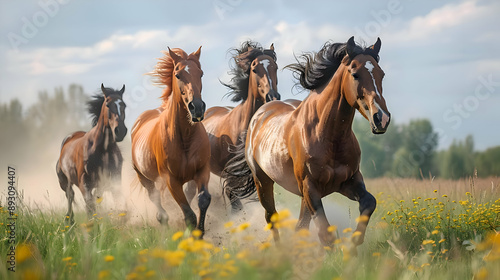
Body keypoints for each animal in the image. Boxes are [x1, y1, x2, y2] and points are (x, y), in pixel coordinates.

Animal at [56, 83, 127, 223]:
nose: (120, 131)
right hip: (64, 181)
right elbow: (89, 204)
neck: (103, 150)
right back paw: (69, 219)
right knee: (70, 195)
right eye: (107, 104)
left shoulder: (113, 179)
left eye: (124, 105)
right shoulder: (85, 182)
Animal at [131, 46, 211, 236]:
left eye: (201, 73)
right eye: (178, 74)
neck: (185, 138)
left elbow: (203, 200)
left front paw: (200, 234)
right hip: (145, 179)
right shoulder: (171, 181)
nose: (197, 108)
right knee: (159, 207)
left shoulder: (202, 171)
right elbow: (188, 214)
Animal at [226, 36, 390, 247]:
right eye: (355, 74)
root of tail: (260, 113)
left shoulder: (348, 182)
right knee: (272, 217)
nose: (382, 118)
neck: (329, 137)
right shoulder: (310, 188)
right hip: (263, 181)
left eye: (381, 74)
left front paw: (354, 243)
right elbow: (325, 234)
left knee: (300, 225)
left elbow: (369, 203)